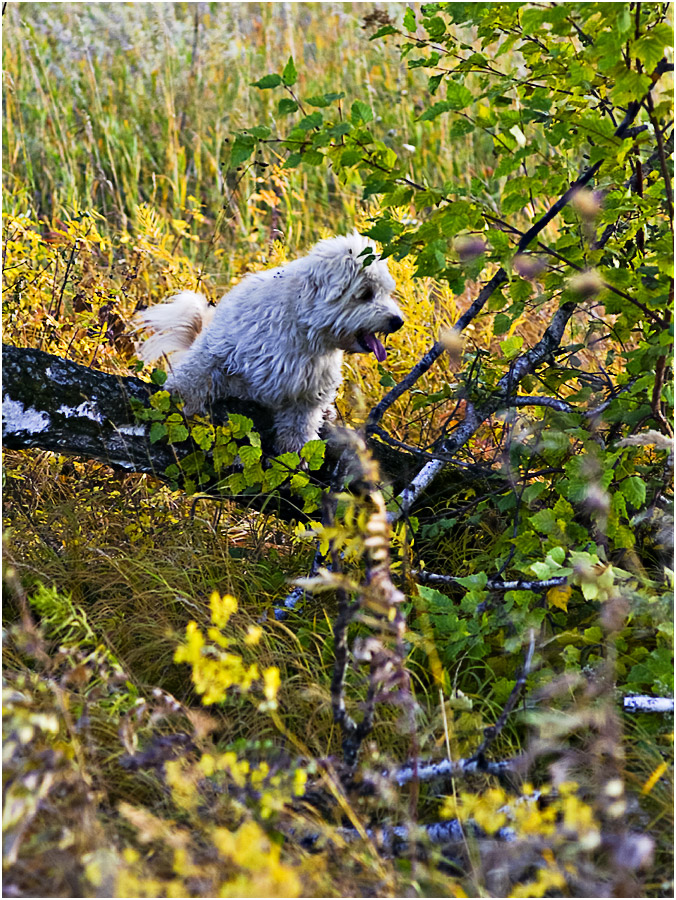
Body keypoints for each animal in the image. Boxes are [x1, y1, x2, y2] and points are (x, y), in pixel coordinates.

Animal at [135, 232, 404, 450]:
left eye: (385, 292)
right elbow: (196, 374)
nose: (398, 321)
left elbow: (301, 422)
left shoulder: (309, 388)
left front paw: (297, 450)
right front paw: (178, 398)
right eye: (366, 294)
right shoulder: (220, 347)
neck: (302, 327)